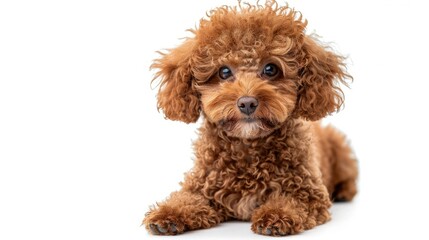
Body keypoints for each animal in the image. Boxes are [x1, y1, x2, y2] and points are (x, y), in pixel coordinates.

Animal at [142, 0, 356, 236]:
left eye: (270, 69)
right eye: (224, 72)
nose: (247, 103)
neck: (248, 147)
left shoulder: (309, 194)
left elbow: (291, 201)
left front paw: (276, 215)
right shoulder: (202, 187)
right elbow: (186, 199)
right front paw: (168, 214)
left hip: (339, 147)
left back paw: (344, 191)